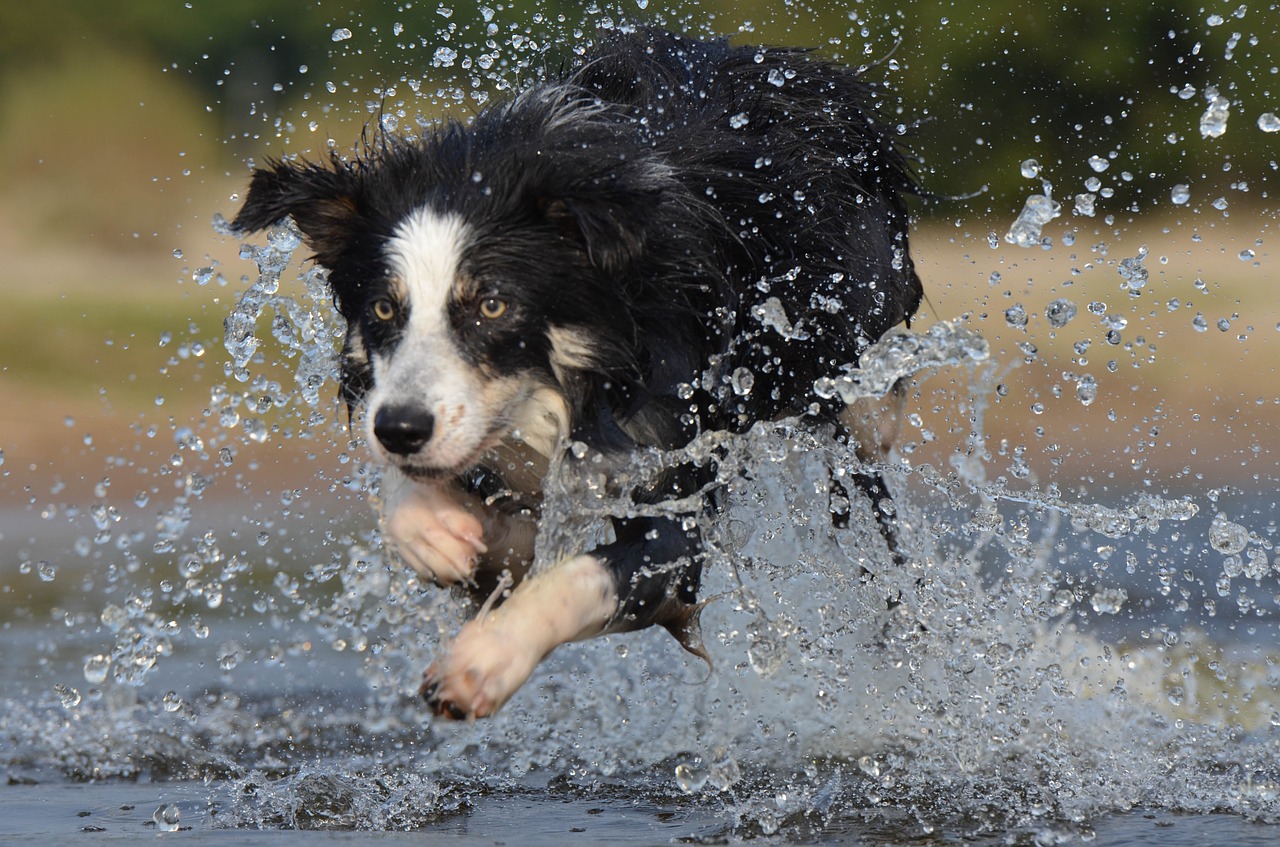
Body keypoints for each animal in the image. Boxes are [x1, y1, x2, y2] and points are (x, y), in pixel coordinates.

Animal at [232, 26, 921, 721]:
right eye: (381, 308)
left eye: (492, 305)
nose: (401, 429)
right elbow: (430, 501)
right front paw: (435, 529)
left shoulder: (672, 488)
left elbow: (584, 577)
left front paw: (485, 660)